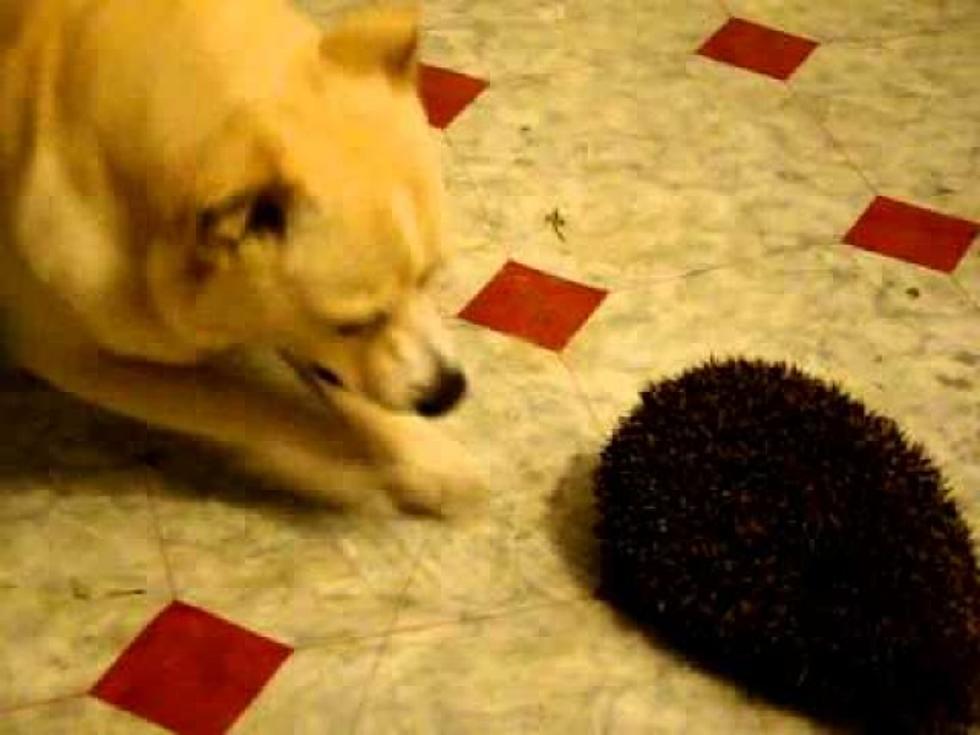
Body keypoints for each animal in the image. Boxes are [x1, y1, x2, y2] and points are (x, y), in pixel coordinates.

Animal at [0, 0, 486, 516]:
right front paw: (335, 461)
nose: (449, 391)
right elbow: (241, 401)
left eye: (431, 277)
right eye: (350, 324)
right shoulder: (74, 357)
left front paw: (424, 455)